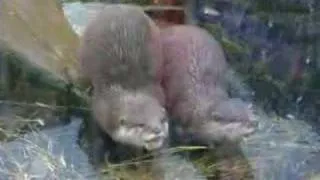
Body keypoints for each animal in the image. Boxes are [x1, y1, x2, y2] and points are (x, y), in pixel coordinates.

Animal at [77, 3, 169, 150]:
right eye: (141, 125)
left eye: (162, 120)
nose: (157, 130)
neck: (130, 89)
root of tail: (118, 6)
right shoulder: (99, 109)